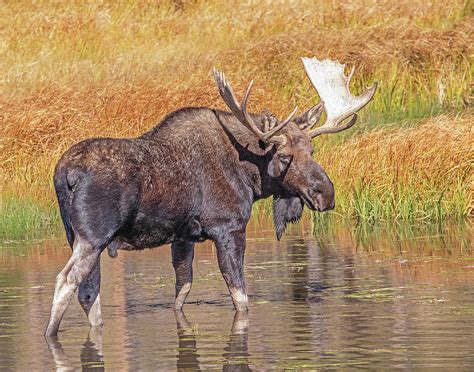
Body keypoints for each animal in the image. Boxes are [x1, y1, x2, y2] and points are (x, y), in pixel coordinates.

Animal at [45, 57, 378, 338]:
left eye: (312, 149)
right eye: (285, 156)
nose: (326, 194)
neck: (250, 175)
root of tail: (65, 173)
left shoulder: (183, 237)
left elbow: (182, 289)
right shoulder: (228, 227)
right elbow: (240, 296)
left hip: (76, 237)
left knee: (89, 290)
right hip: (93, 236)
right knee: (67, 280)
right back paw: (50, 334)